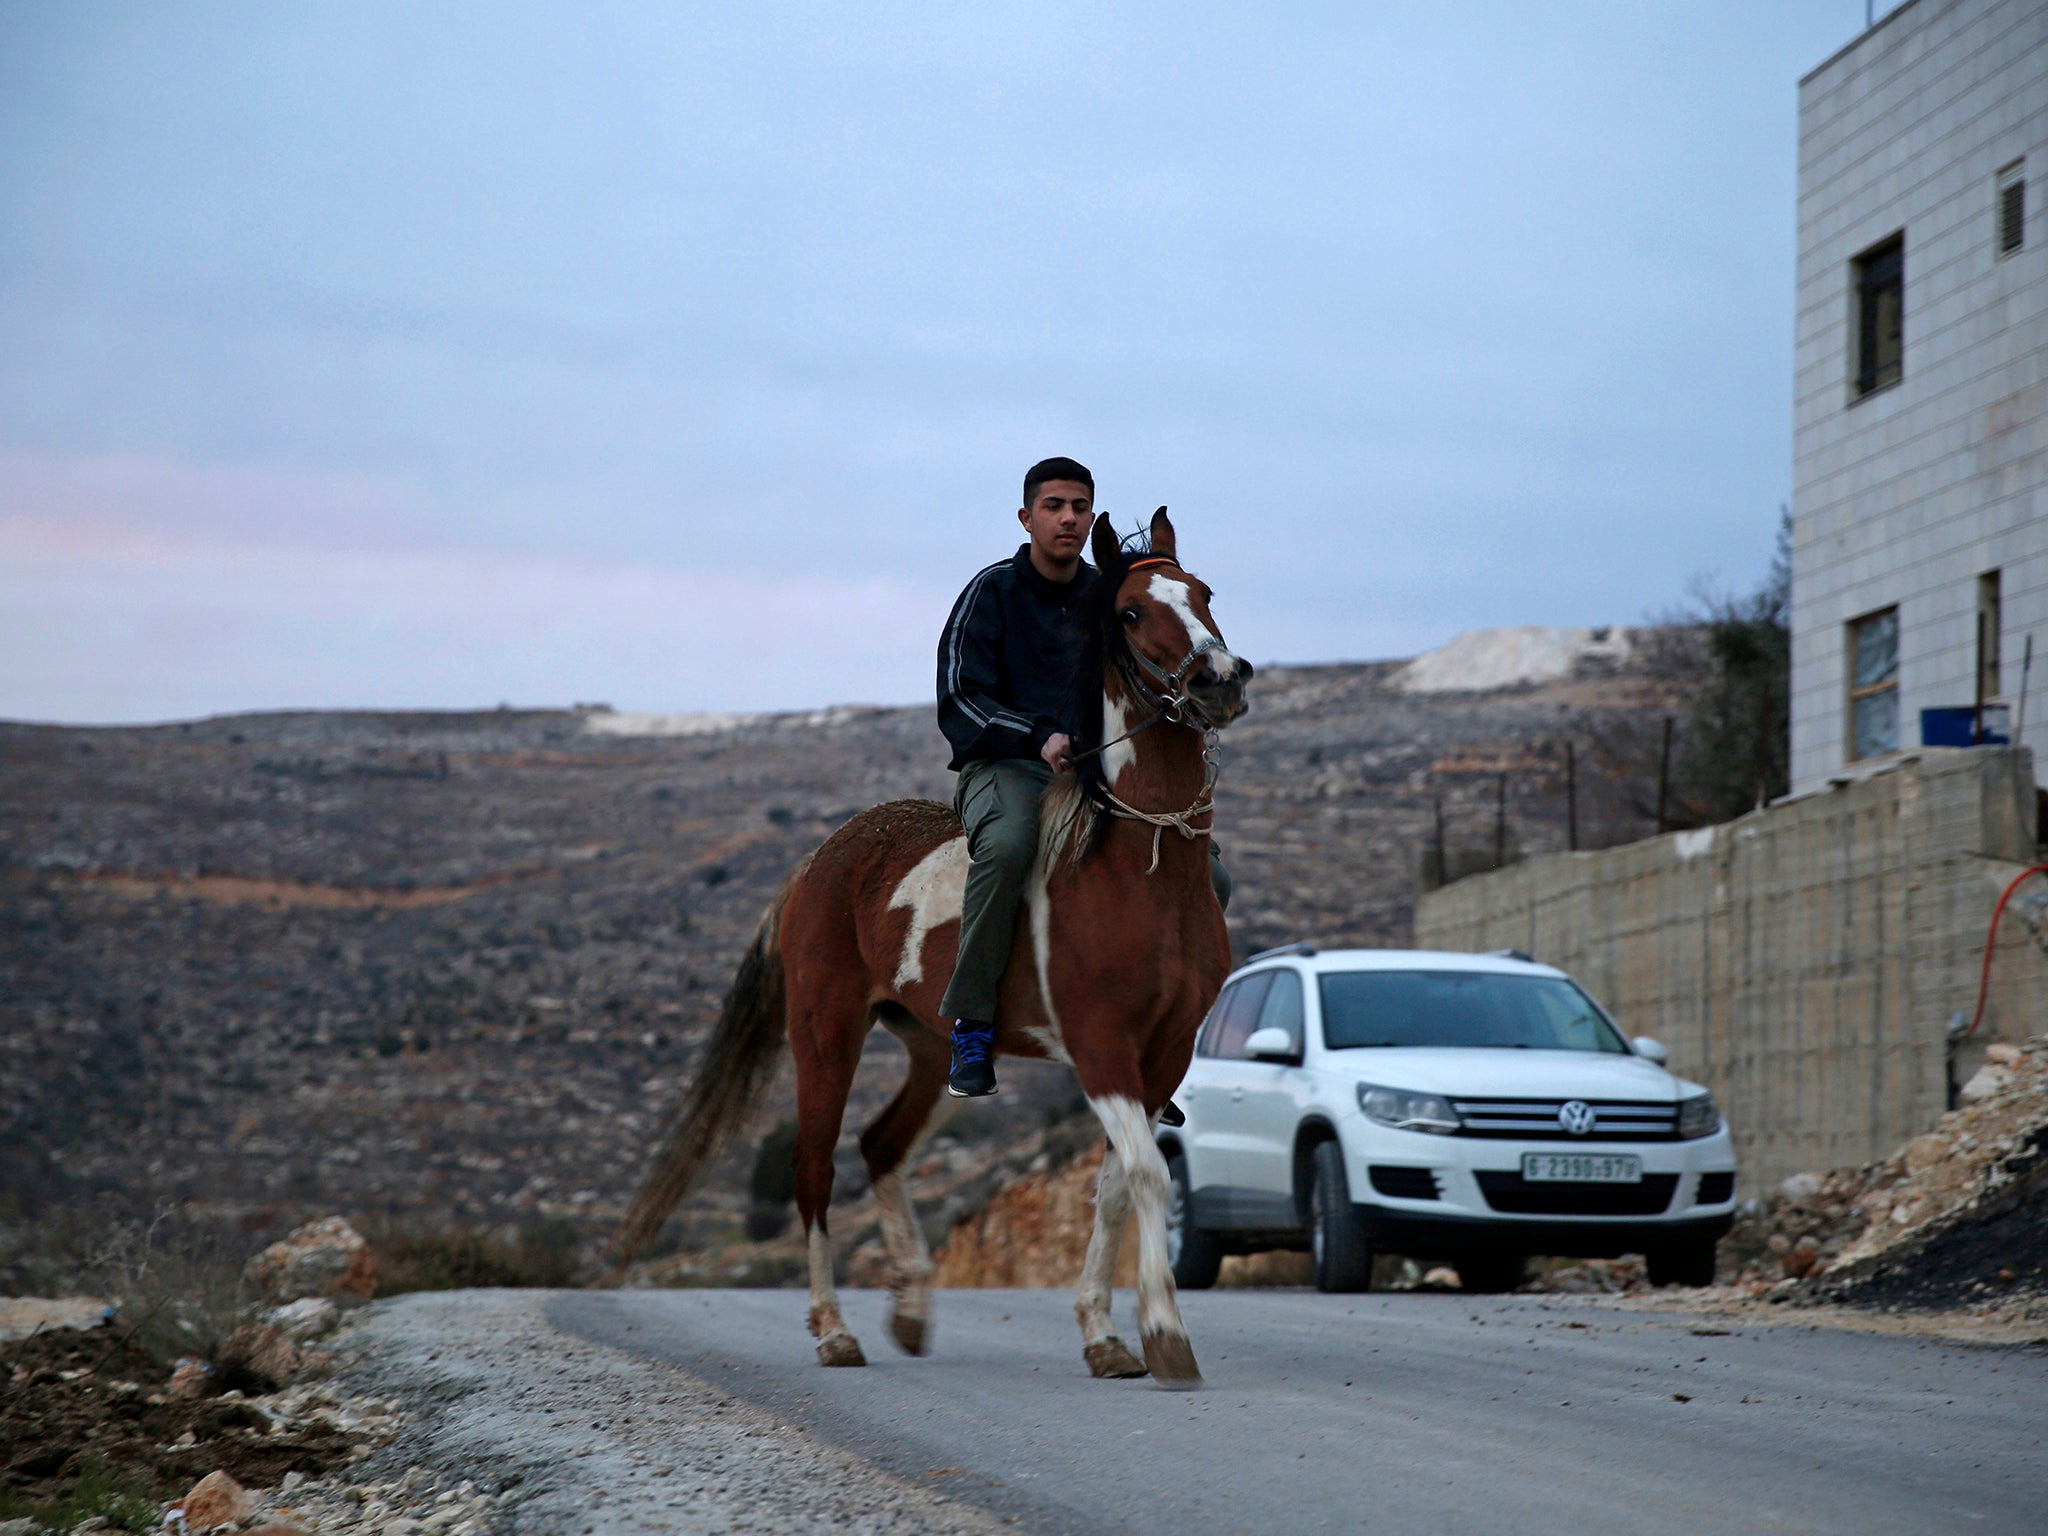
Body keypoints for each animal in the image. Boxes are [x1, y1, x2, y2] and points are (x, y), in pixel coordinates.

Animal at [606, 512, 1245, 1392]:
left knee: (880, 1145)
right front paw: (1164, 1334)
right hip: (826, 1039)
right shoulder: (1100, 1044)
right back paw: (835, 1331)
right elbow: (1144, 1173)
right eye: (1130, 611)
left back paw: (908, 1308)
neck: (1134, 866)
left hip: (934, 1046)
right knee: (816, 1169)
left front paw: (1104, 1335)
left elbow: (1116, 1183)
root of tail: (817, 863)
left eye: (1206, 593)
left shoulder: (1166, 1051)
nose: (1221, 679)